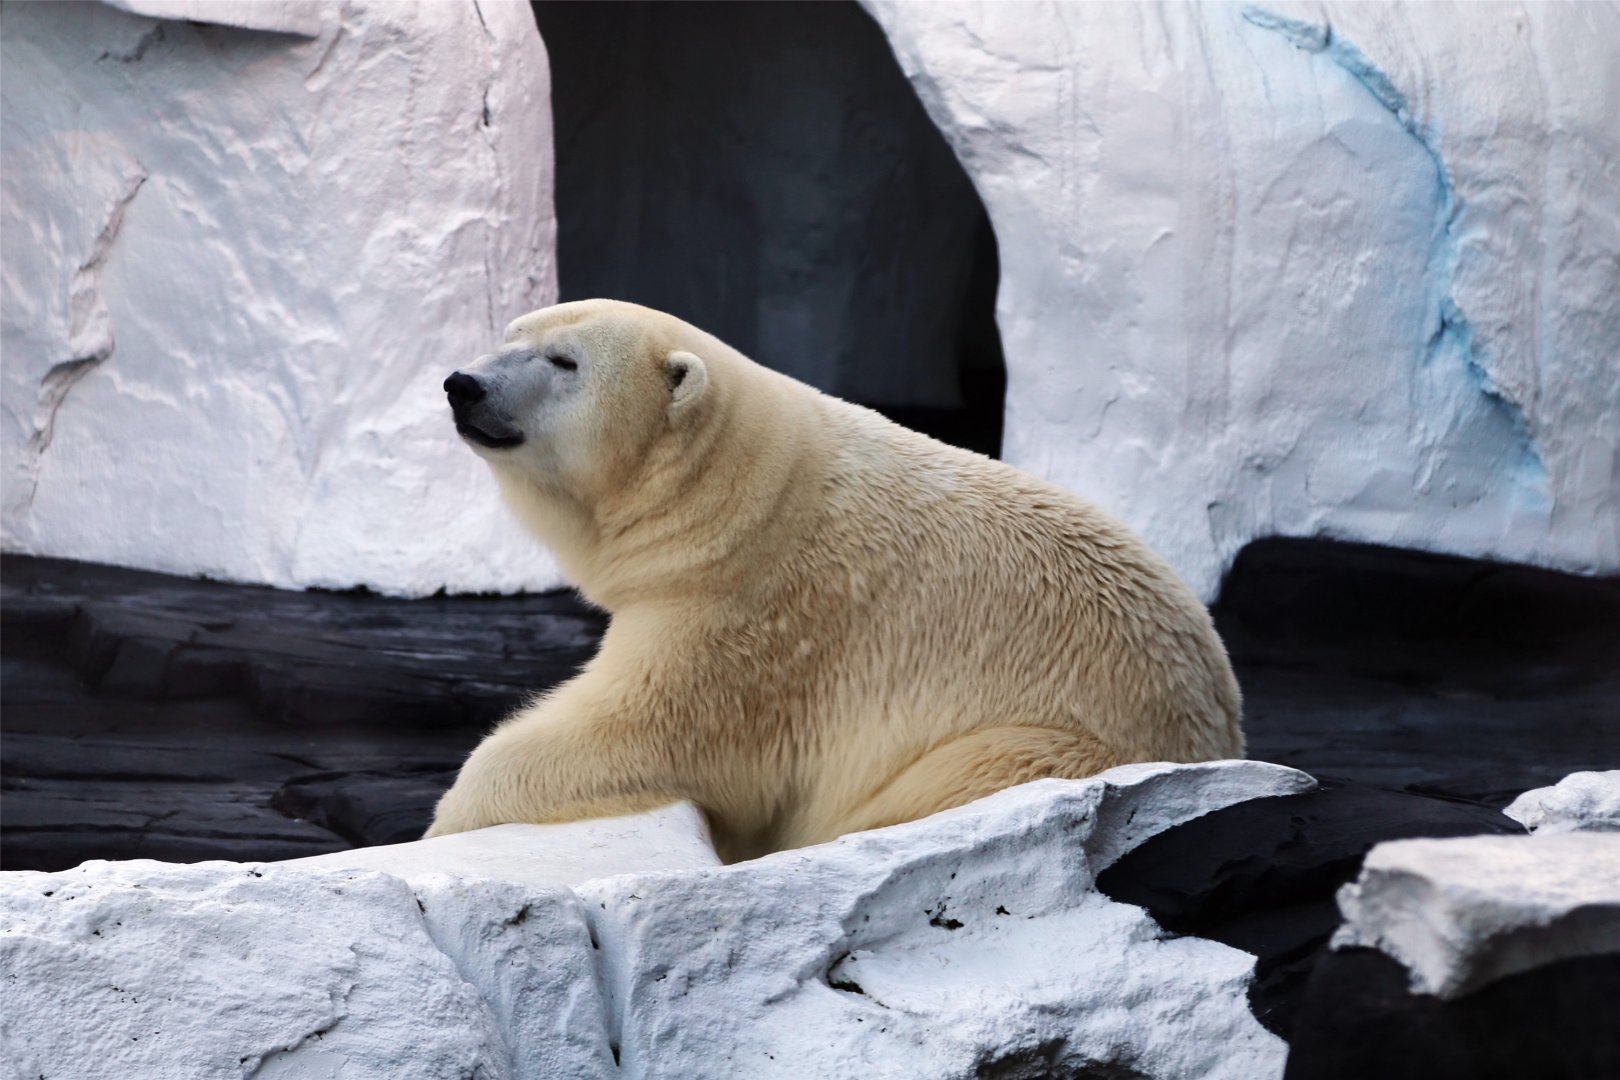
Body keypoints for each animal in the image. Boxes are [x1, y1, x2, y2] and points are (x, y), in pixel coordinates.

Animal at [426, 299, 1242, 861]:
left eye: (564, 361)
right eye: (511, 336)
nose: (464, 384)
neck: (740, 498)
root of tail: (1219, 724)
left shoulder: (756, 621)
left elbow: (643, 734)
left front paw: (446, 819)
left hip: (1036, 743)